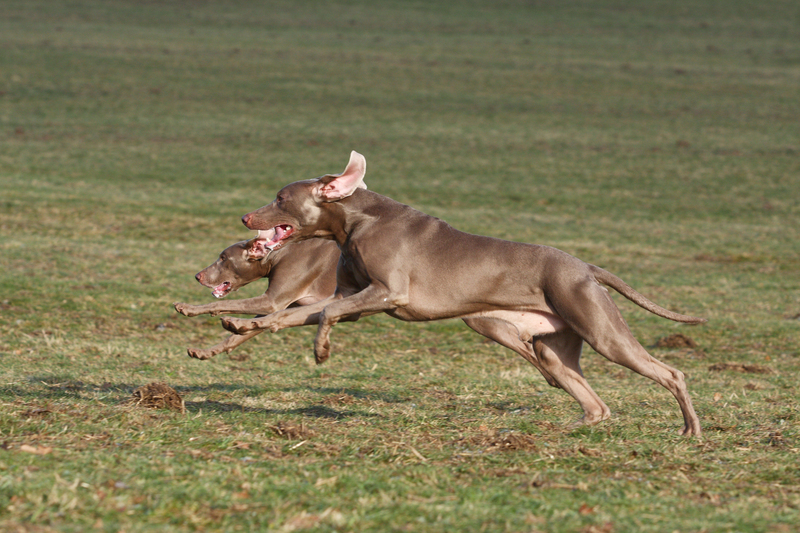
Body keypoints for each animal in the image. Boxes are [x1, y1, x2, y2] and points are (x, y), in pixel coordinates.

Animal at [220, 152, 708, 434]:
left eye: (281, 198)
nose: (245, 217)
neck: (356, 220)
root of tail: (585, 267)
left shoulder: (387, 294)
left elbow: (326, 316)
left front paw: (320, 351)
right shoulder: (347, 295)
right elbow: (287, 315)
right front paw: (239, 325)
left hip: (600, 329)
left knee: (670, 373)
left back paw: (690, 430)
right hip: (553, 347)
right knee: (594, 404)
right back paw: (564, 432)